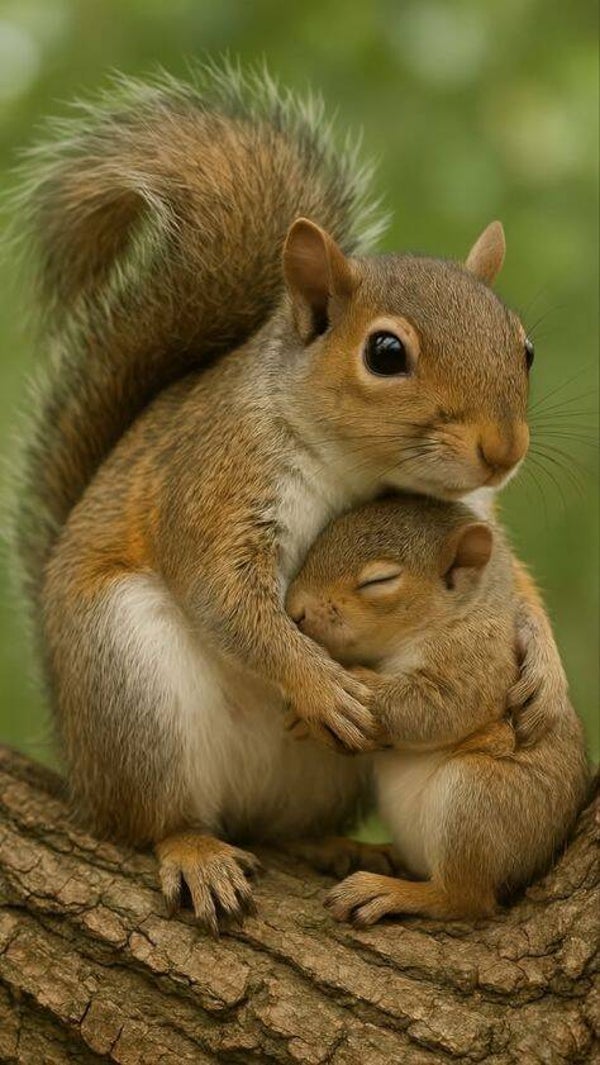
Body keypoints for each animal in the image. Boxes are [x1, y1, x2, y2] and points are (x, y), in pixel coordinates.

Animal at [285, 495, 589, 923]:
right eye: (318, 543)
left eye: (379, 581)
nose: (294, 610)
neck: (453, 614)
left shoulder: (477, 660)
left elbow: (434, 707)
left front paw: (330, 699)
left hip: (478, 799)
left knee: (465, 899)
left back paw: (390, 891)